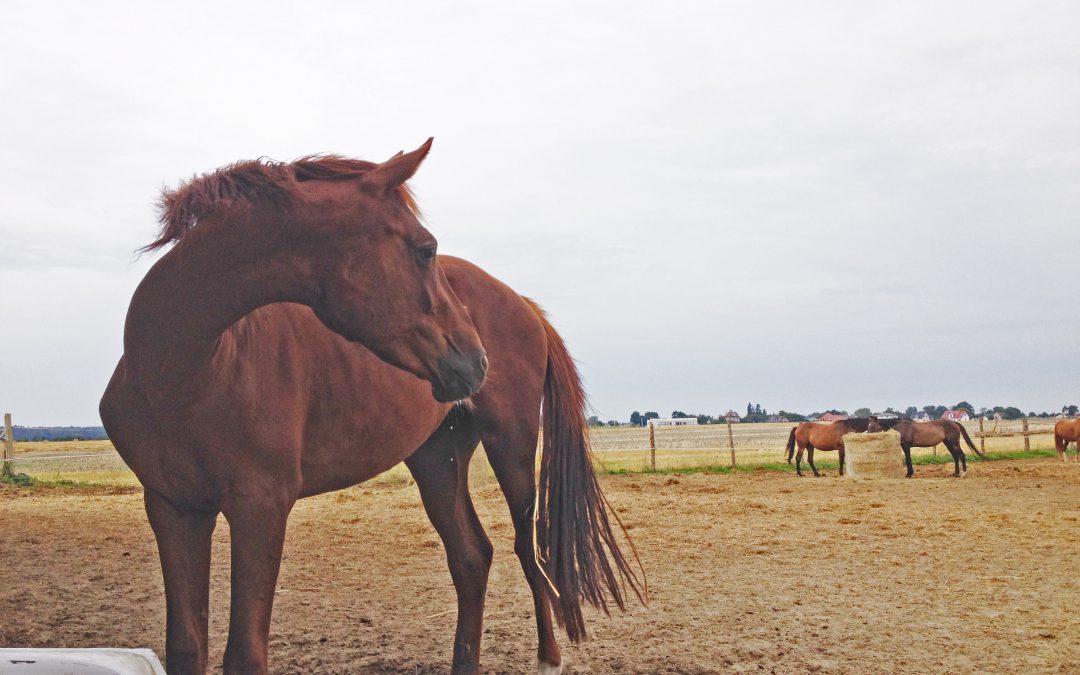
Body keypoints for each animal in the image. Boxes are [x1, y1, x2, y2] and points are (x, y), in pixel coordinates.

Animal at [99, 138, 639, 673]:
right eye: (425, 249)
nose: (477, 359)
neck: (185, 372)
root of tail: (522, 303)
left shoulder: (259, 508)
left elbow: (245, 653)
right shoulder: (173, 509)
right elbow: (186, 645)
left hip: (512, 444)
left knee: (528, 550)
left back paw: (549, 657)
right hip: (437, 458)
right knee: (472, 557)